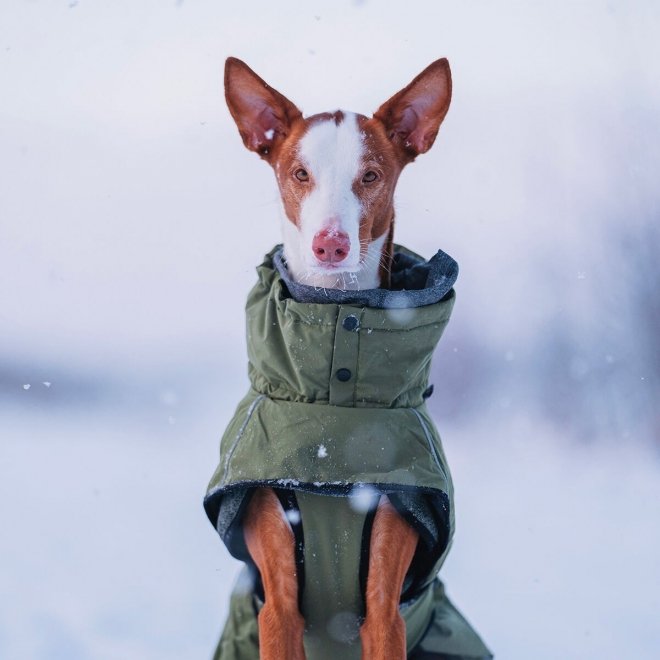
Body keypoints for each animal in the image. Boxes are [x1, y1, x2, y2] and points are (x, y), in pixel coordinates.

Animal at [204, 56, 492, 660]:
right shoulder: (277, 605)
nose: (330, 245)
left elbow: (383, 615)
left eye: (371, 176)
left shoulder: (386, 605)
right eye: (299, 174)